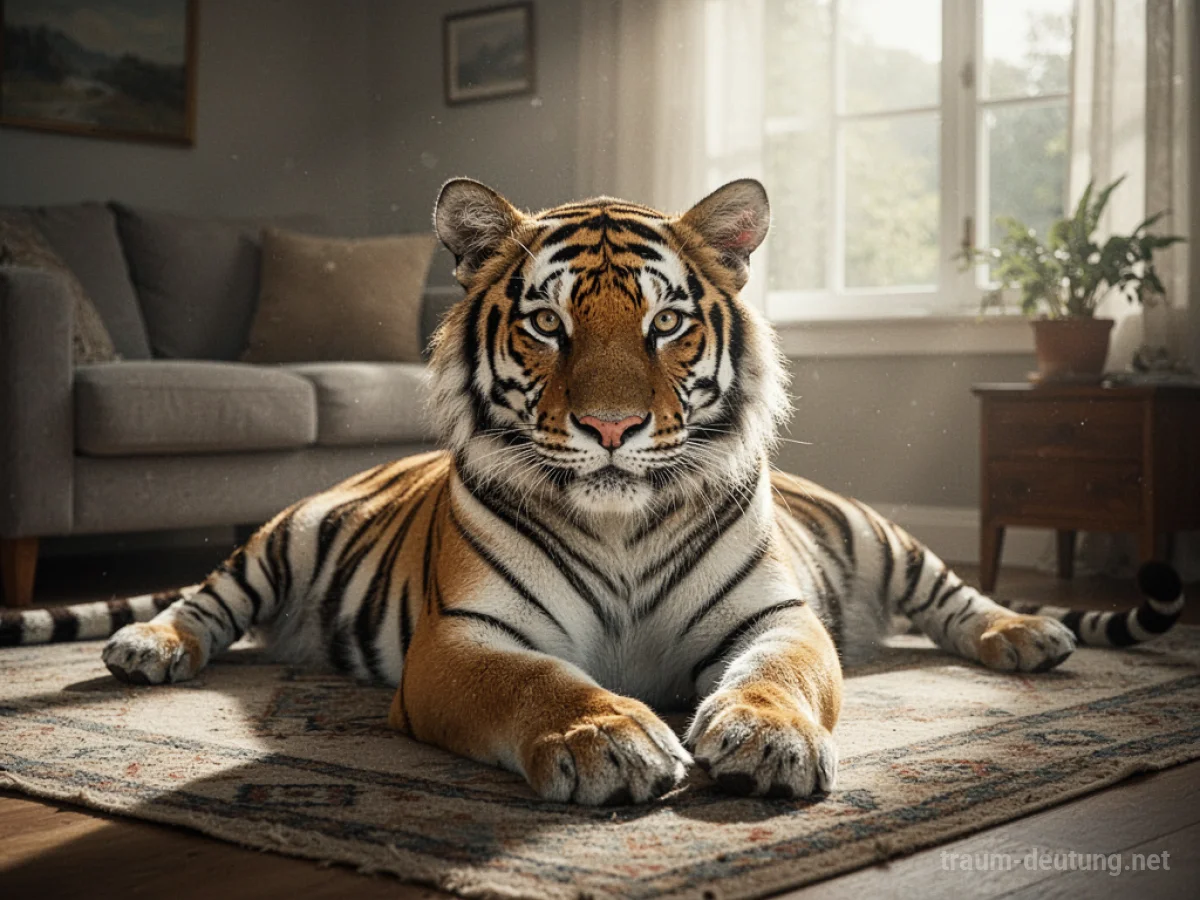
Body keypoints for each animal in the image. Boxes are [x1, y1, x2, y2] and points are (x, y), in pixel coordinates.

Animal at [1, 178, 1185, 806]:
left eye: (665, 322)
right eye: (547, 322)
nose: (611, 428)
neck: (621, 523)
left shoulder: (777, 617)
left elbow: (780, 677)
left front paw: (765, 741)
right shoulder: (464, 640)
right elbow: (537, 683)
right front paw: (606, 739)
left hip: (879, 535)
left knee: (955, 597)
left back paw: (1029, 635)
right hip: (288, 531)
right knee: (206, 599)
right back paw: (147, 646)